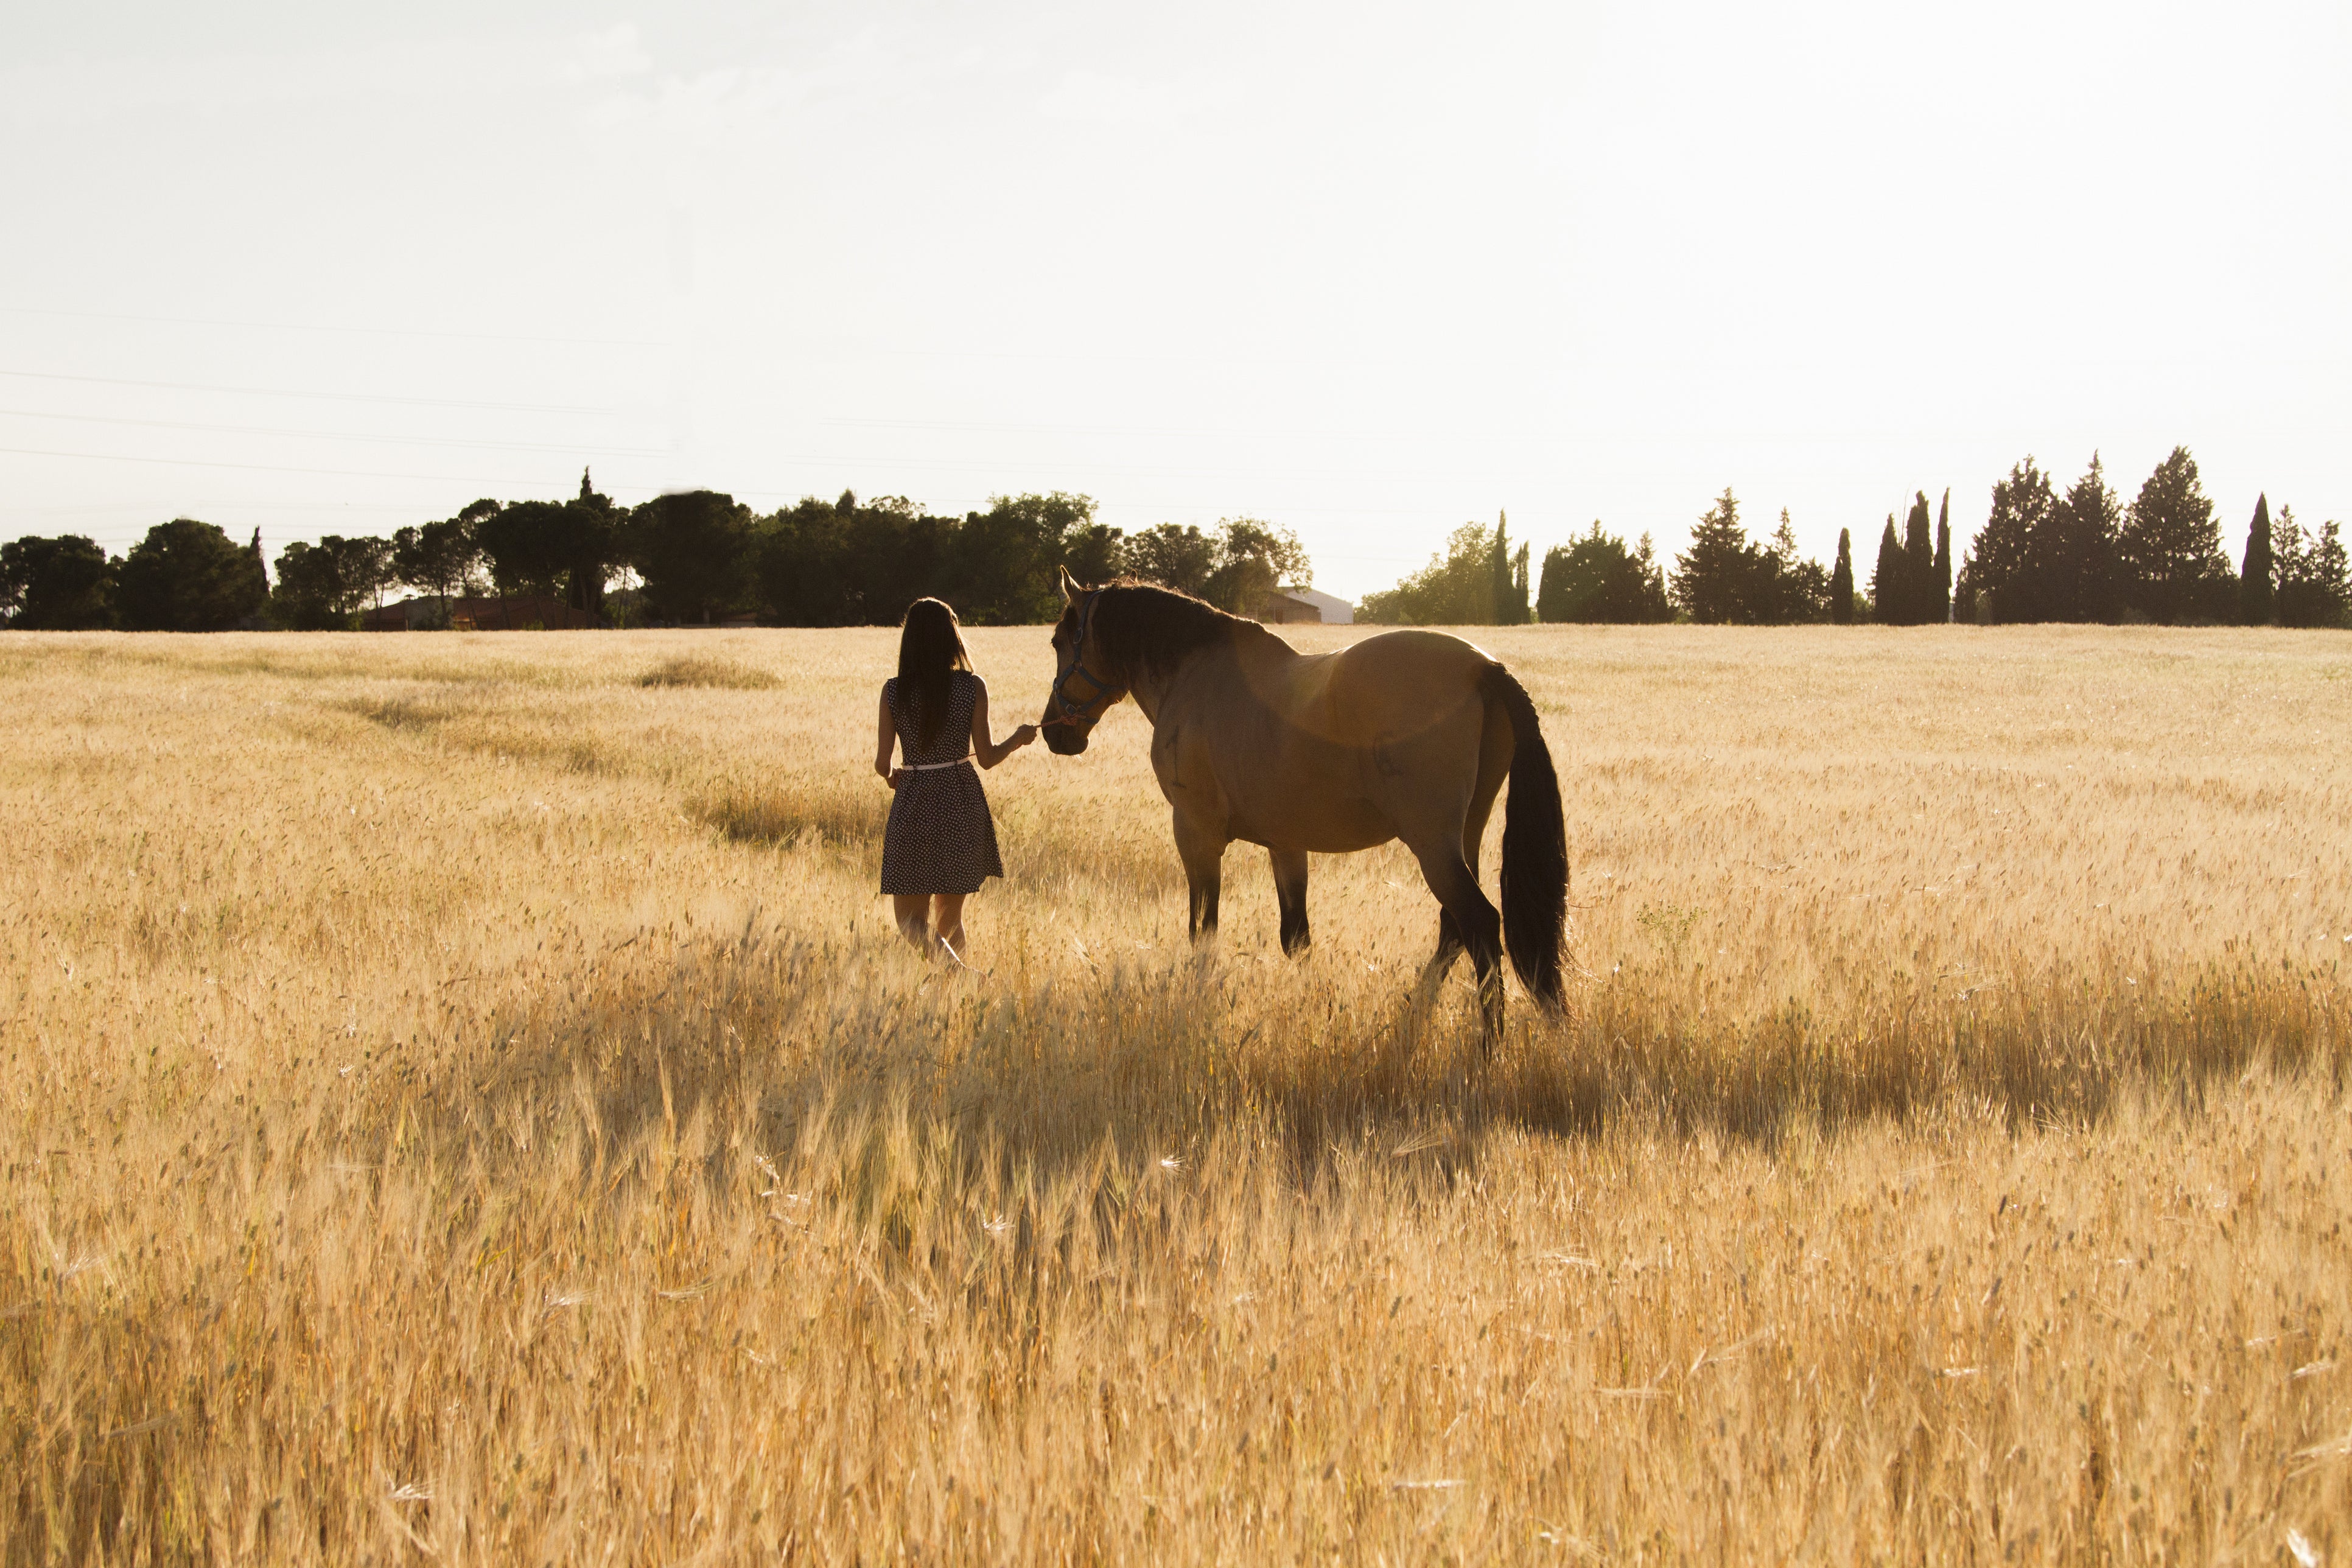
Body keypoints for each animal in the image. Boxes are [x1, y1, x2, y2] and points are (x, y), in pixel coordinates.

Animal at [1044, 571, 1561, 1034]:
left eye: (1057, 642)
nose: (1054, 732)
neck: (1194, 676)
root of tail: (1483, 668)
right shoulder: (1286, 843)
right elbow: (1297, 938)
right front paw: (1314, 1006)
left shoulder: (1195, 835)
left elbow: (1203, 933)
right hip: (1466, 833)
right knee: (1453, 930)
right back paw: (1413, 1017)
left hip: (1433, 843)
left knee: (1480, 926)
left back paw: (1487, 1046)